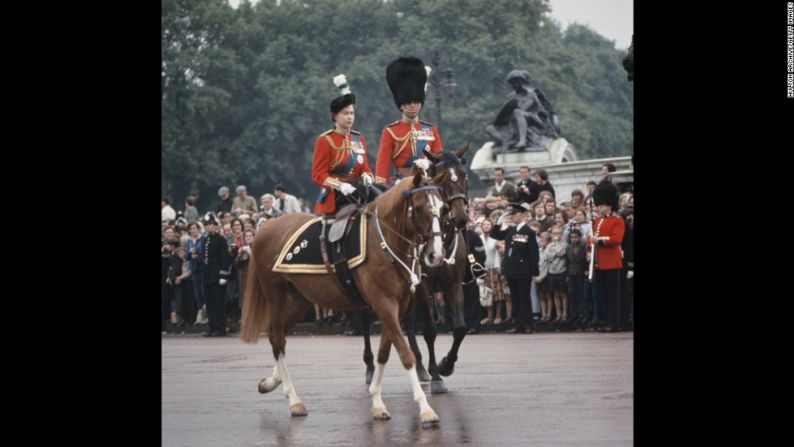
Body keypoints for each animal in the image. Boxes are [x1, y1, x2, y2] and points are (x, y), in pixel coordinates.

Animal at [238, 172, 448, 428]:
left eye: (443, 207)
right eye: (418, 208)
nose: (436, 255)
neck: (385, 243)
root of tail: (264, 228)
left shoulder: (397, 307)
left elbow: (384, 353)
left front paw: (377, 402)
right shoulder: (384, 304)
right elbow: (405, 354)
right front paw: (425, 409)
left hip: (300, 300)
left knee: (277, 338)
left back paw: (272, 381)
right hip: (275, 295)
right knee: (277, 339)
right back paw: (294, 400)